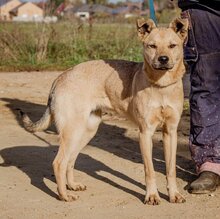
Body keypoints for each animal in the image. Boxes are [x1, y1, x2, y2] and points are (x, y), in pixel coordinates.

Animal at [21, 18, 189, 204]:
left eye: (172, 45)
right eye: (152, 46)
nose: (163, 59)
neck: (162, 86)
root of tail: (59, 78)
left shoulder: (170, 132)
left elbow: (171, 169)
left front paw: (174, 194)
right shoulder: (145, 133)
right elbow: (149, 171)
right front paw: (152, 196)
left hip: (86, 131)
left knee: (70, 160)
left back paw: (72, 185)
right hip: (72, 131)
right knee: (59, 163)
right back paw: (64, 195)